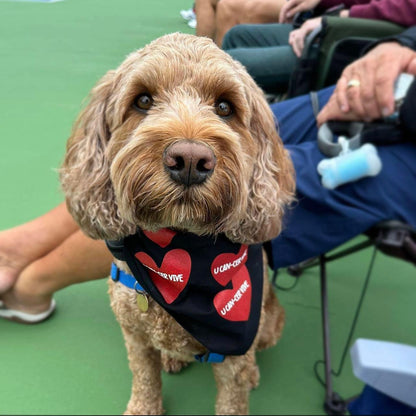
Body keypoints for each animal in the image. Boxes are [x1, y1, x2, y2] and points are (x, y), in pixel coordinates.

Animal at [61, 33, 296, 416]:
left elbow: (233, 398)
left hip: (268, 322)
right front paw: (143, 407)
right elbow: (145, 378)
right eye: (143, 100)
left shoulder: (232, 359)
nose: (189, 159)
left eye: (225, 107)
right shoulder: (135, 335)